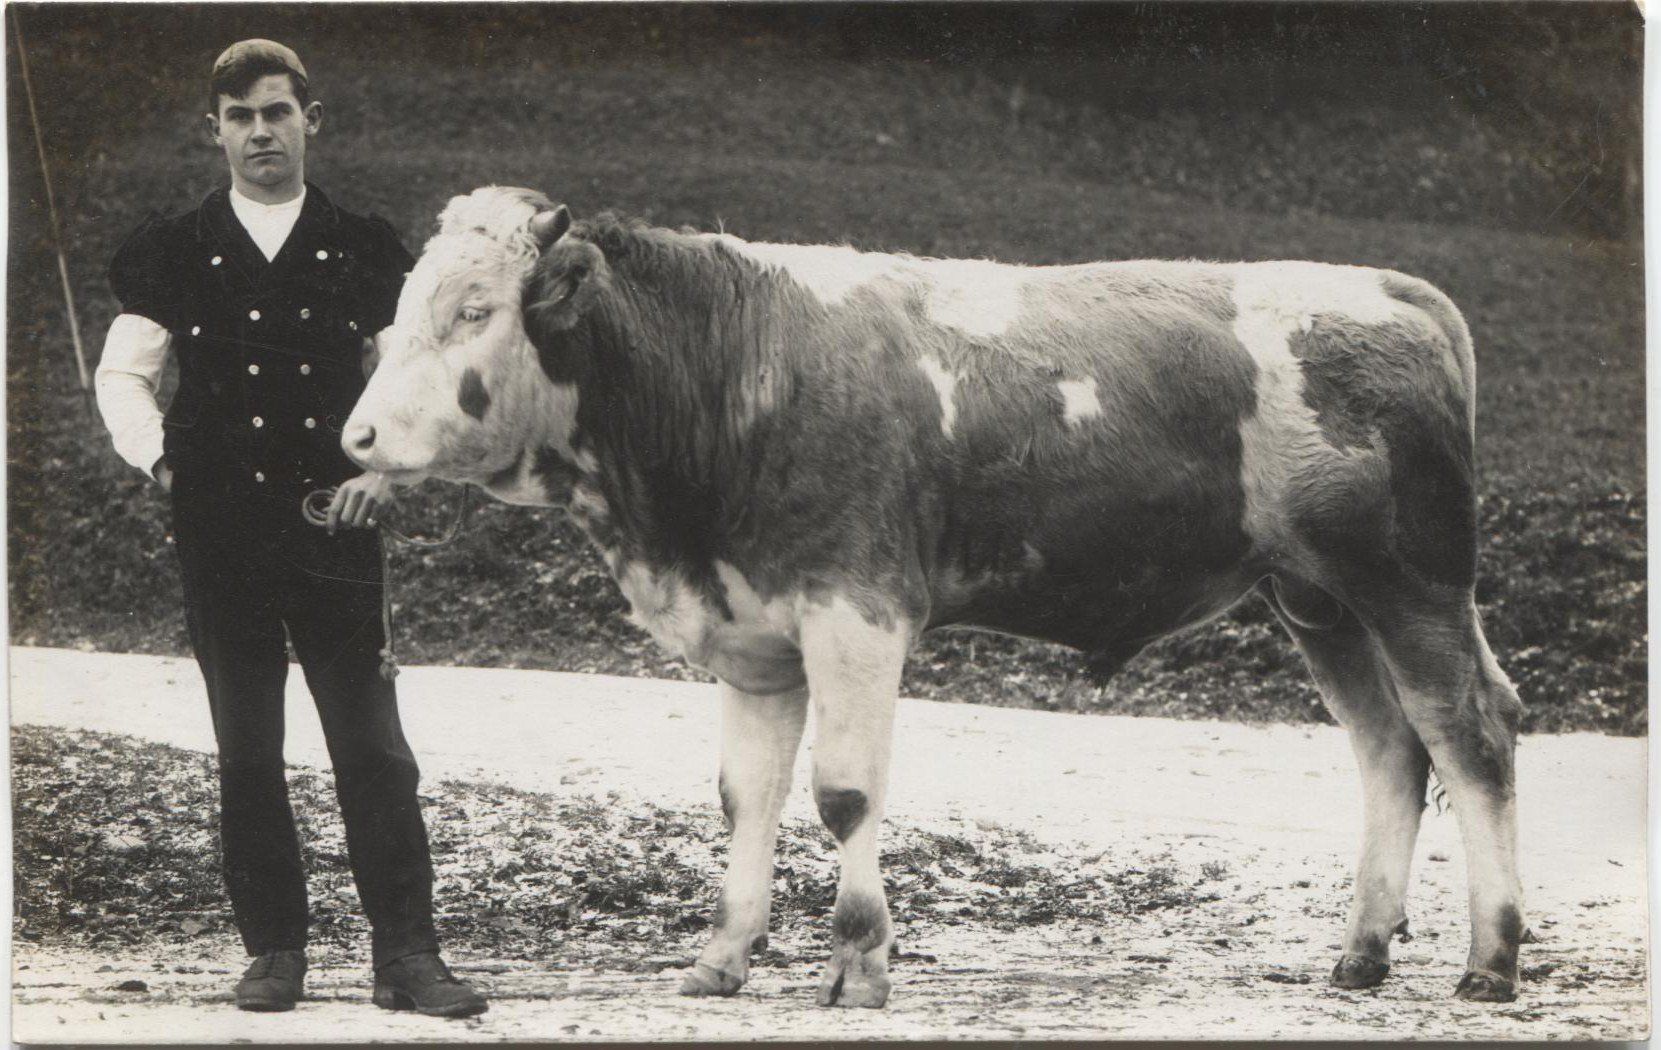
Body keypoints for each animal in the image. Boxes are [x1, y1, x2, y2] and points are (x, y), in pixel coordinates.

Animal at [343, 186, 1527, 1008]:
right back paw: (1361, 953)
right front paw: (722, 956)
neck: (732, 370)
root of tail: (1389, 288)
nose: (355, 435)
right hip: (1318, 599)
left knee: (1469, 736)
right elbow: (747, 797)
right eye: (391, 314)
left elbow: (843, 793)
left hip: (1409, 582)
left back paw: (1491, 958)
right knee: (1389, 748)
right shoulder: (756, 637)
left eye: (475, 308)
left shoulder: (856, 610)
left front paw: (860, 962)